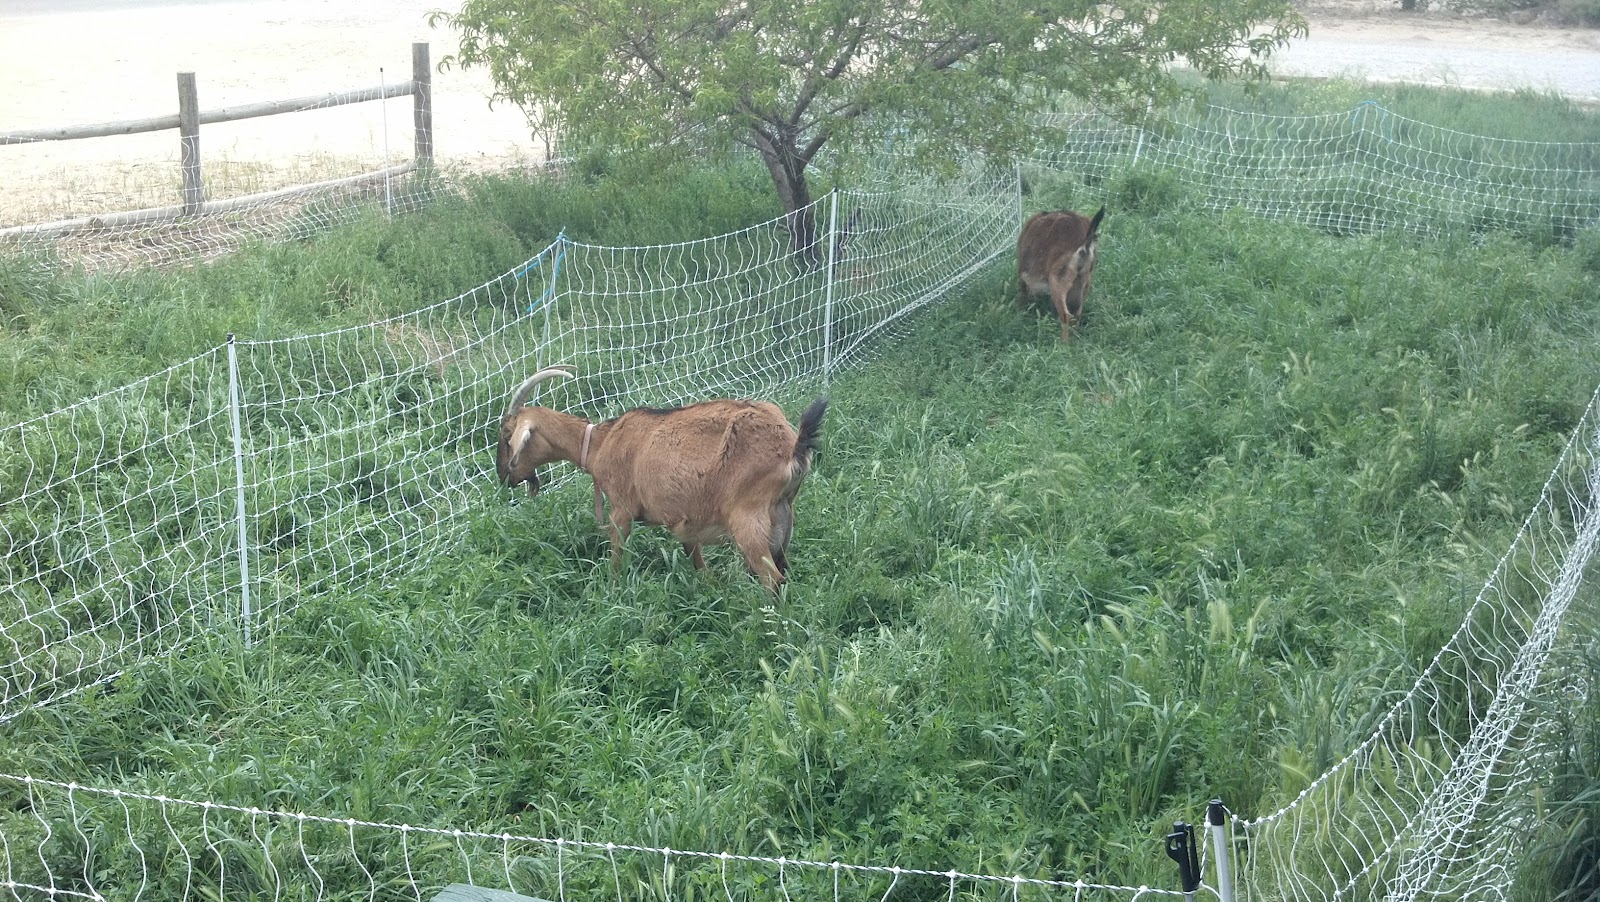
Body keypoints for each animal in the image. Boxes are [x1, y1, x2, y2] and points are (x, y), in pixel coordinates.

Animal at [496, 366, 828, 591]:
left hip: (748, 516)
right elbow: (696, 559)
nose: (503, 477)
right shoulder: (686, 519)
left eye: (507, 435)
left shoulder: (622, 509)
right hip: (782, 515)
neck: (601, 443)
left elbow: (617, 556)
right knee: (783, 570)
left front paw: (613, 591)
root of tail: (791, 446)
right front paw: (708, 589)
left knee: (773, 578)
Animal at [1015, 206, 1105, 340]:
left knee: (1066, 315)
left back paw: (1062, 343)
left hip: (1058, 281)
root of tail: (1085, 244)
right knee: (1076, 314)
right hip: (1084, 282)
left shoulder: (1023, 274)